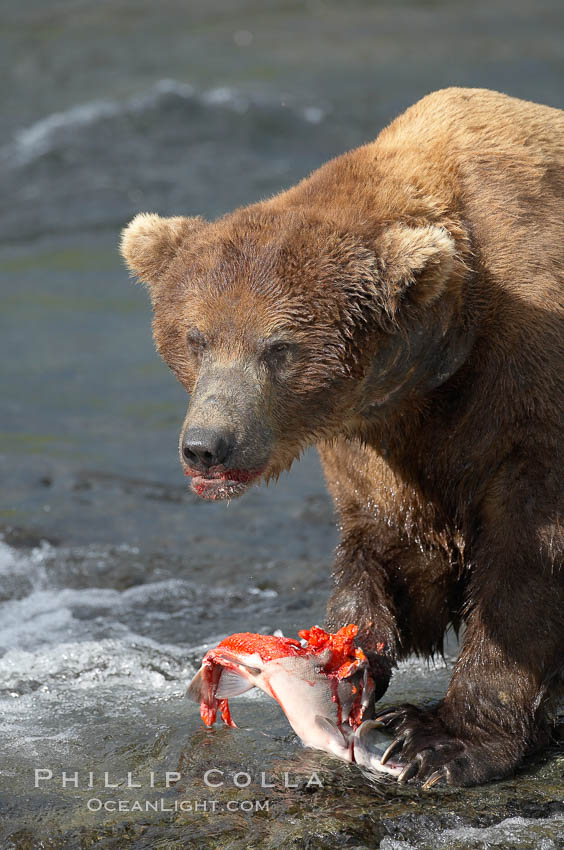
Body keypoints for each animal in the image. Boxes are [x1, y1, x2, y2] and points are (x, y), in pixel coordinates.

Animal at [122, 89, 564, 784]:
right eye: (195, 338)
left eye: (278, 349)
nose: (206, 445)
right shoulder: (377, 437)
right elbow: (390, 548)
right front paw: (345, 661)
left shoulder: (526, 394)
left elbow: (525, 568)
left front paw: (439, 740)